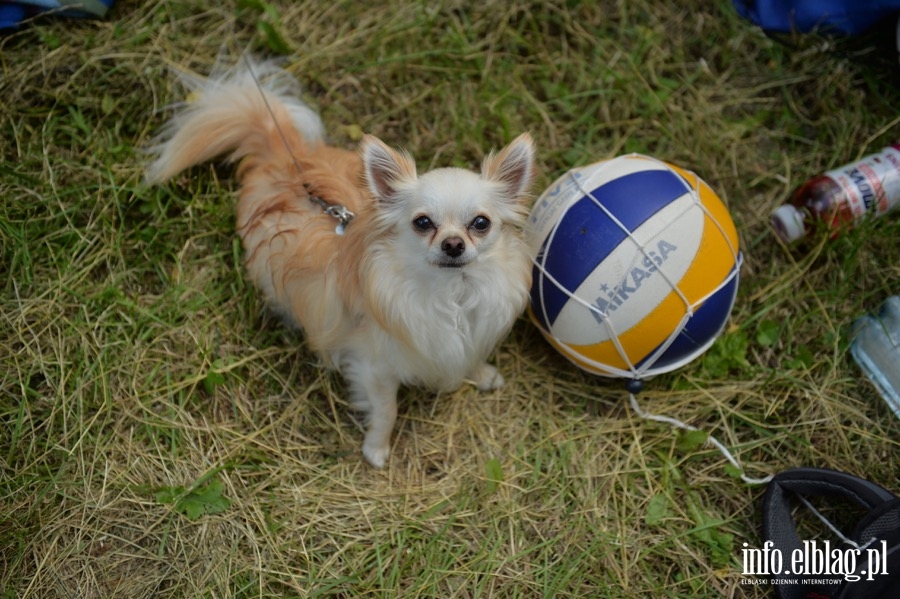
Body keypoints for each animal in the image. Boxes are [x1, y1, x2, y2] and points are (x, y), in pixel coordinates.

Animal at [147, 58, 536, 466]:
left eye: (481, 223)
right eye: (422, 223)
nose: (454, 244)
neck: (452, 294)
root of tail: (285, 153)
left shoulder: (470, 333)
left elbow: (468, 355)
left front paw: (481, 373)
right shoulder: (375, 367)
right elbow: (387, 409)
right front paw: (377, 448)